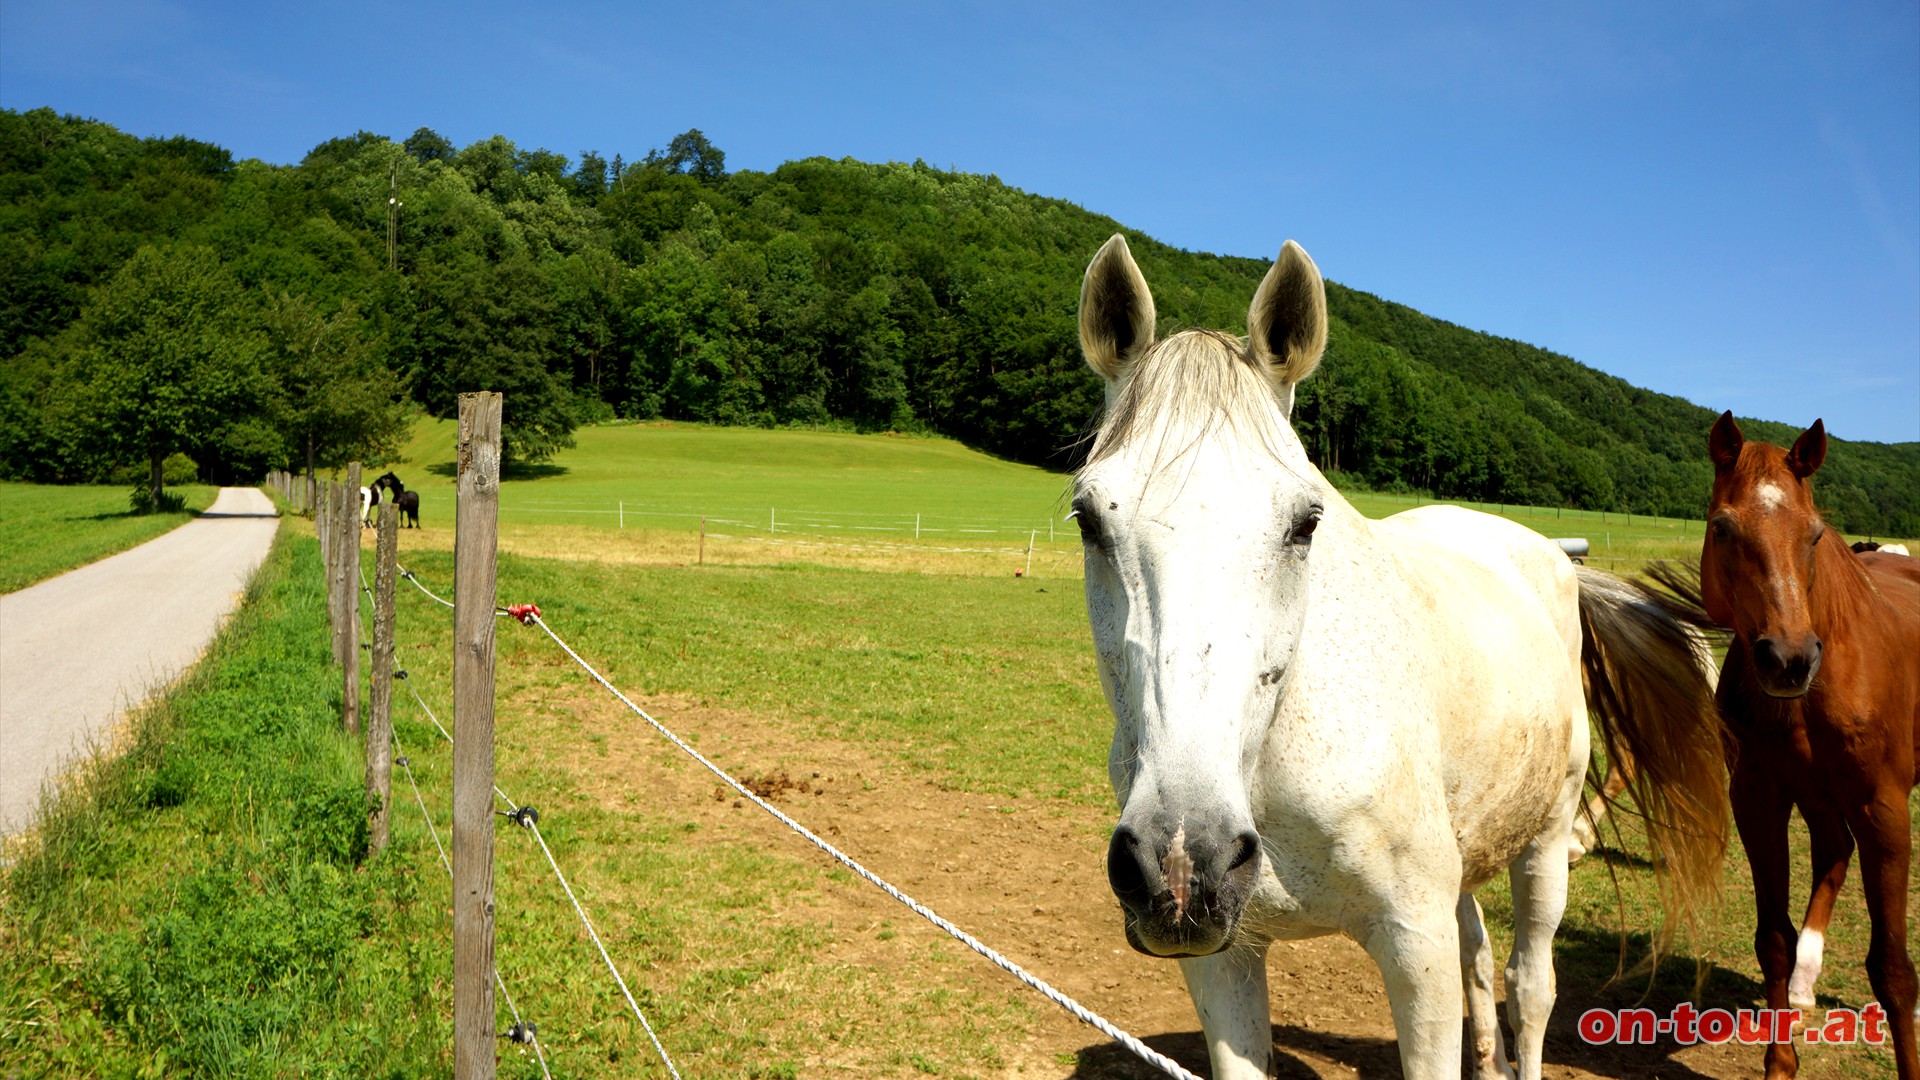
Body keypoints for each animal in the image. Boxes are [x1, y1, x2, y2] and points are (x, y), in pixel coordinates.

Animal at [1075, 235, 1735, 1076]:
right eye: (1089, 517)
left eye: (1305, 520)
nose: (1184, 861)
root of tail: (1553, 557)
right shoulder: (1224, 961)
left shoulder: (1414, 950)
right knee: (1481, 956)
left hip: (1546, 843)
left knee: (1531, 986)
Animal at [1704, 411, 1912, 1076]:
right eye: (1722, 528)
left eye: (1816, 534)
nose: (1790, 659)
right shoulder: (1758, 799)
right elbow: (1773, 940)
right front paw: (1780, 1061)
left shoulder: (1884, 810)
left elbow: (1893, 971)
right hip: (1819, 796)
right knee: (1833, 854)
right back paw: (1803, 980)